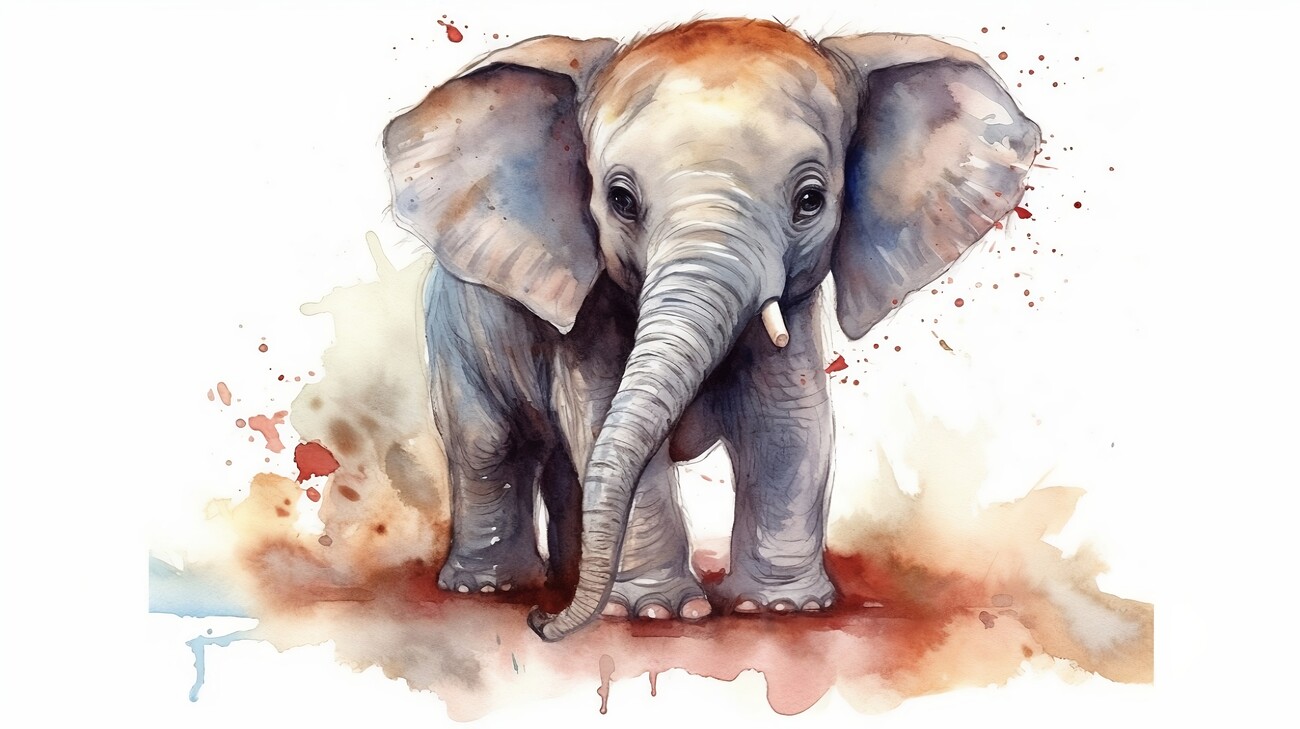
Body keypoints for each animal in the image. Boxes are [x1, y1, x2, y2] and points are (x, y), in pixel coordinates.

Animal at [382, 18, 1039, 641]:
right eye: (620, 200)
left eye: (810, 199)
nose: (540, 627)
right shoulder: (586, 310)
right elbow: (600, 415)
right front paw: (655, 613)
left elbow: (788, 422)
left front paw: (779, 608)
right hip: (454, 331)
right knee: (489, 445)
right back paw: (497, 590)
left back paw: (570, 587)